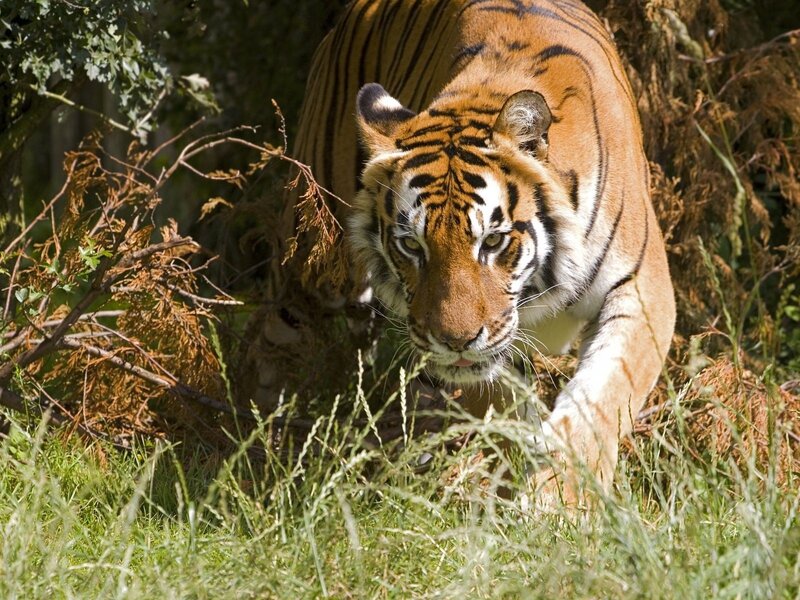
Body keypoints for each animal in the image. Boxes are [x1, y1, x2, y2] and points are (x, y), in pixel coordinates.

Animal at [250, 0, 676, 505]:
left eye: (491, 241)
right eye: (411, 245)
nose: (453, 342)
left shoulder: (641, 288)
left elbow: (602, 399)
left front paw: (558, 500)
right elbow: (505, 407)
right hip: (316, 260)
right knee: (278, 333)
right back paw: (261, 440)